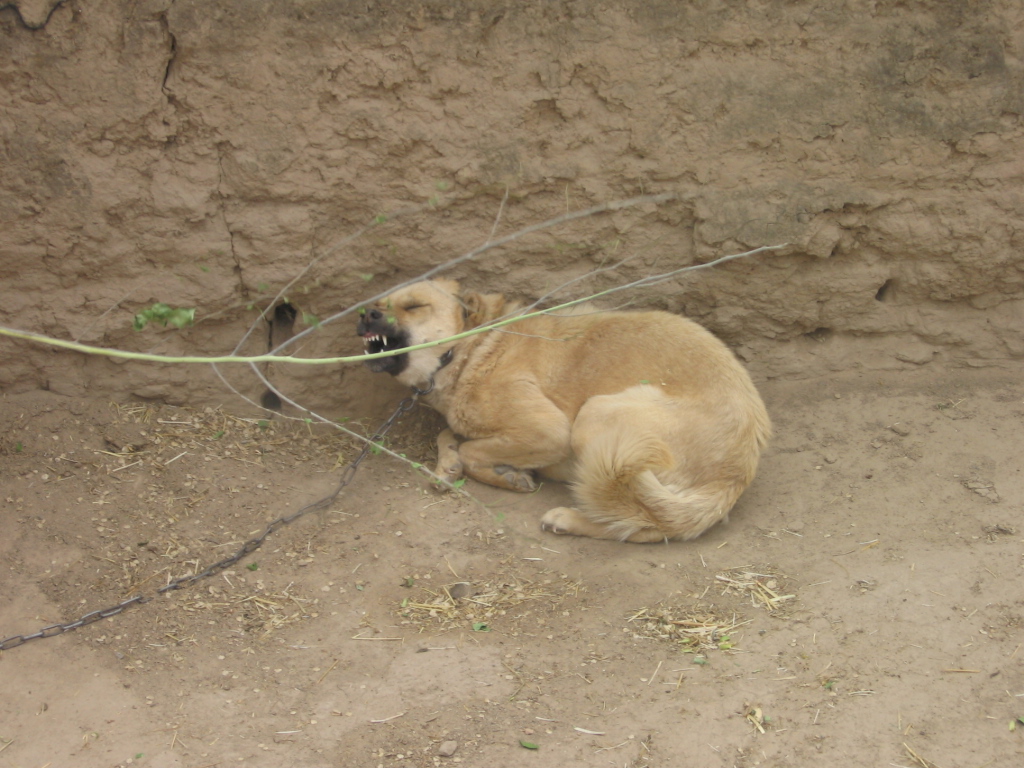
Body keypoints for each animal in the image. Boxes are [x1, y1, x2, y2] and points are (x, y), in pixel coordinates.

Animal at [356, 279, 771, 543]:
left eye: (414, 306)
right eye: (378, 304)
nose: (364, 314)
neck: (474, 347)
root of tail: (735, 474)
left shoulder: (547, 431)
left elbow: (474, 450)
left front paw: (504, 474)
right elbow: (449, 434)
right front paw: (447, 466)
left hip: (596, 416)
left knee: (645, 521)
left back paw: (568, 519)